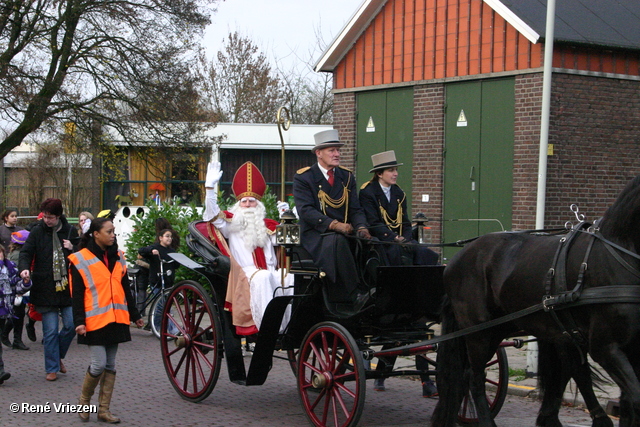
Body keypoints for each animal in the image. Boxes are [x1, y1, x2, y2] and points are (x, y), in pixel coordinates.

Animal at [436, 175, 640, 427]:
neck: (620, 254)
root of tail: (453, 261)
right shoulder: (605, 347)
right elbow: (634, 397)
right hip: (479, 333)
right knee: (474, 379)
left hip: (516, 328)